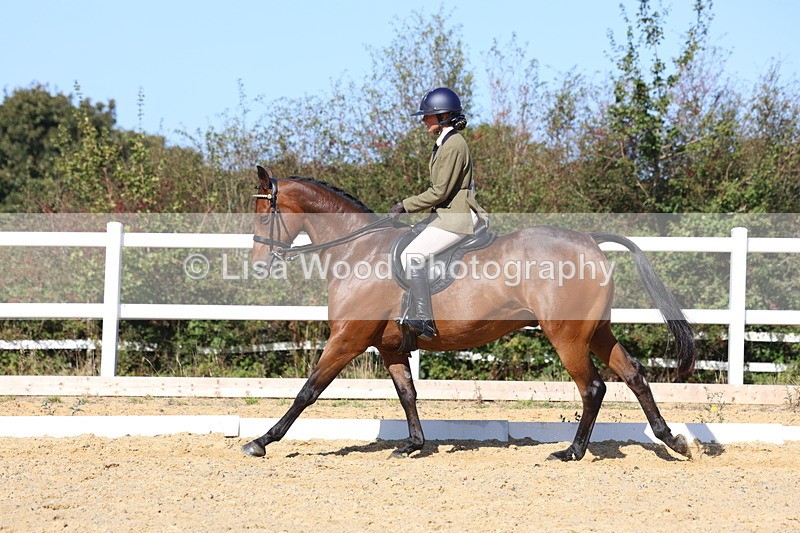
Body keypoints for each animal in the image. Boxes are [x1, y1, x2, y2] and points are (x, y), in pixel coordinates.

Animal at [241, 166, 695, 461]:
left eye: (265, 213)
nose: (259, 265)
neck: (356, 250)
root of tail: (588, 239)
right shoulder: (389, 347)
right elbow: (407, 393)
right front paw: (413, 445)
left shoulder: (347, 339)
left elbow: (308, 391)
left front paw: (262, 440)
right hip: (595, 331)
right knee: (634, 374)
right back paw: (671, 440)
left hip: (566, 336)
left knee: (593, 388)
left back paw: (572, 452)